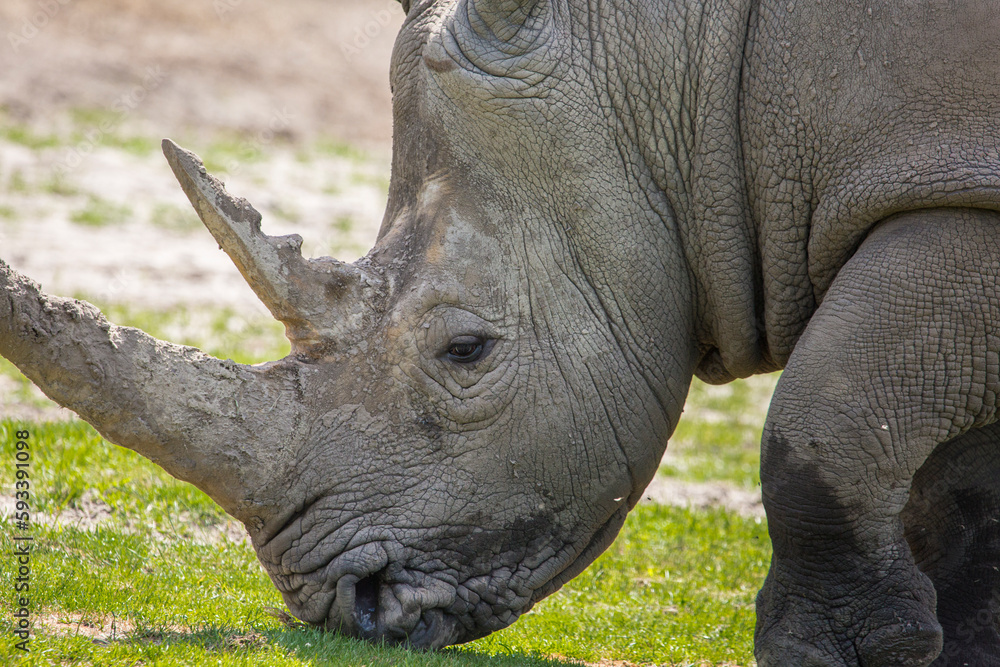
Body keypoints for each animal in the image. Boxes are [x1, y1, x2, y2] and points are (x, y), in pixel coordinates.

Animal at [3, 0, 1000, 664]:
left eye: (466, 350)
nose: (353, 609)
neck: (692, 67)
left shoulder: (955, 192)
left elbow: (823, 418)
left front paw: (841, 654)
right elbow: (951, 477)